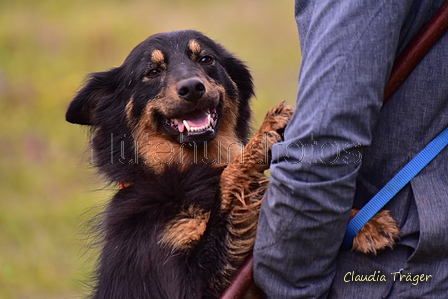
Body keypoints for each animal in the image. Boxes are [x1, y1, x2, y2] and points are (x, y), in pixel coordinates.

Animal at [67, 31, 400, 299]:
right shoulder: (186, 282)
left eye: (206, 59)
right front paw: (262, 136)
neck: (184, 171)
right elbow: (227, 186)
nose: (192, 88)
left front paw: (367, 220)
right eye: (152, 72)